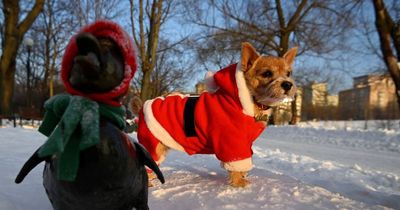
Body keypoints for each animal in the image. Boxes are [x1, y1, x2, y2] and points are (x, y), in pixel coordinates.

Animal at [138, 42, 296, 187]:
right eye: (267, 73)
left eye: (288, 73)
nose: (288, 84)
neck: (249, 101)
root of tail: (144, 105)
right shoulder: (233, 142)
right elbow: (237, 165)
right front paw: (239, 183)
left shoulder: (245, 144)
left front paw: (243, 177)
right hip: (152, 146)